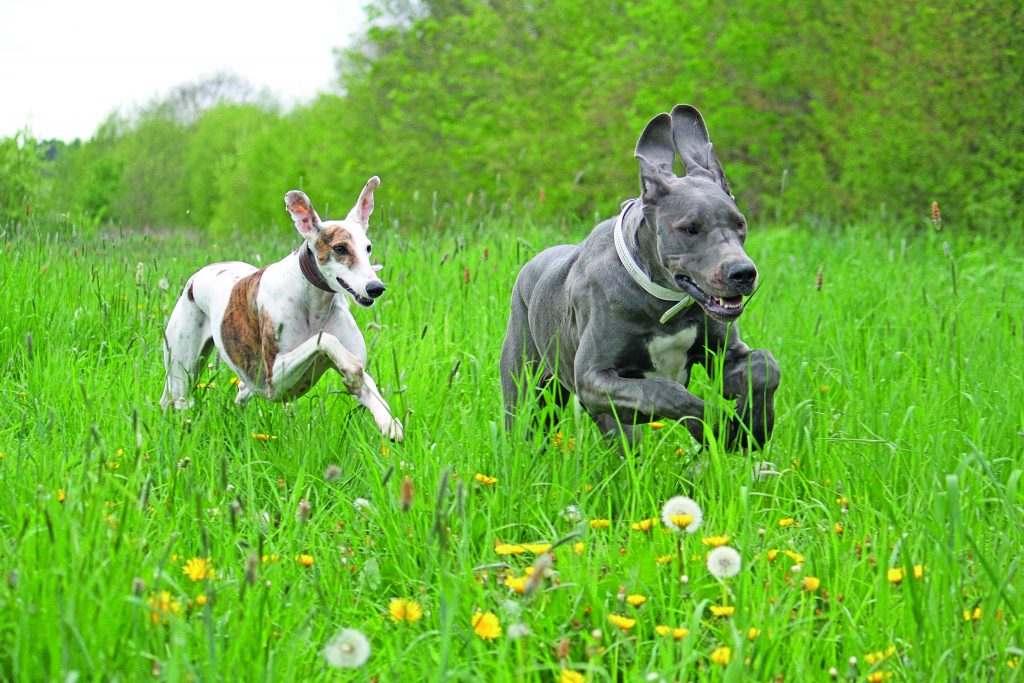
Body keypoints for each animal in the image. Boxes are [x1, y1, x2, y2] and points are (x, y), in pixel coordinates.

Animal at [157, 176, 401, 440]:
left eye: (368, 247)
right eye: (340, 248)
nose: (375, 288)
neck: (314, 302)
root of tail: (198, 275)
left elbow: (371, 392)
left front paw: (389, 422)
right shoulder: (275, 377)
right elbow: (325, 339)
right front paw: (352, 370)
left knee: (242, 389)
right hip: (181, 371)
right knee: (176, 398)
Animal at [499, 105, 778, 448]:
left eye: (740, 223)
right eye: (691, 228)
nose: (743, 273)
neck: (662, 302)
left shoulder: (724, 356)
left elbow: (765, 366)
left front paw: (752, 426)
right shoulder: (593, 379)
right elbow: (670, 393)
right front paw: (719, 428)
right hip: (527, 396)